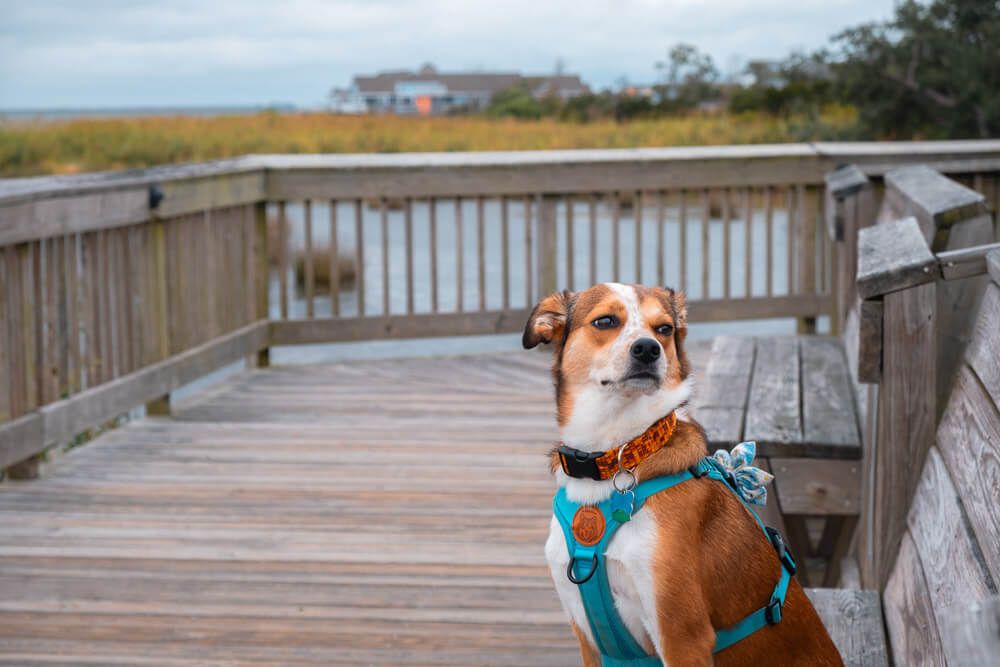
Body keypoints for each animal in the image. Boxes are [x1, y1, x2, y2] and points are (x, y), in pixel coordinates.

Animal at [524, 282, 844, 667]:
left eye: (664, 329)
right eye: (605, 321)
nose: (648, 348)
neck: (617, 454)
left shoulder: (681, 637)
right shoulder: (587, 637)